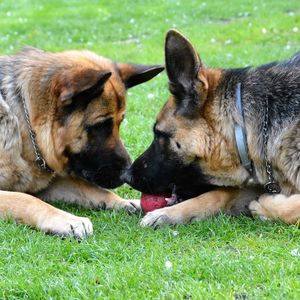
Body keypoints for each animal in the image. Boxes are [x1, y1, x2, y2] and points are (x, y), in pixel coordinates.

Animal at [0, 47, 164, 238]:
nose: (127, 175)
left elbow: (89, 188)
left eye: (120, 122)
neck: (24, 127)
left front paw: (124, 202)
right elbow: (25, 198)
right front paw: (66, 219)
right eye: (101, 125)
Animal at [122, 29, 300, 227]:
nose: (125, 177)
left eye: (158, 134)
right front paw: (166, 214)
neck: (245, 131)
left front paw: (264, 206)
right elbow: (216, 195)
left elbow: (292, 208)